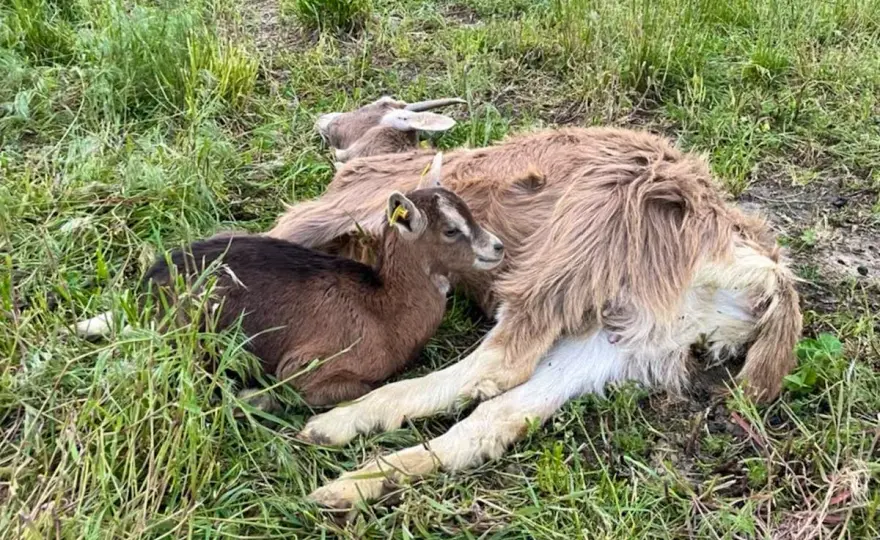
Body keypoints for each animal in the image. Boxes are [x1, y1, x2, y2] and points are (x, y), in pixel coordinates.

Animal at [74, 154, 505, 407]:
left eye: (468, 210)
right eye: (451, 230)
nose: (497, 247)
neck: (382, 312)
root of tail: (145, 289)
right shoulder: (306, 365)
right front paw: (254, 397)